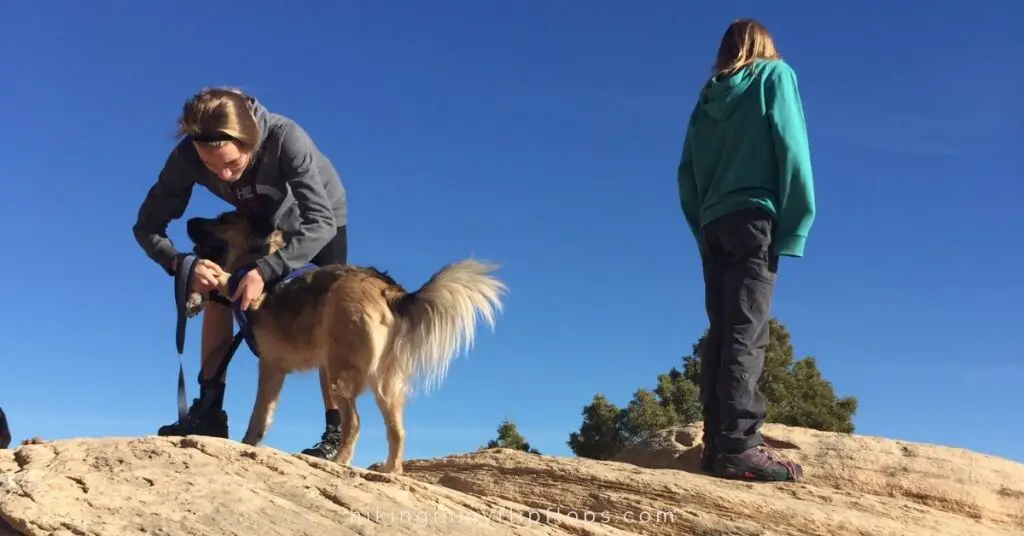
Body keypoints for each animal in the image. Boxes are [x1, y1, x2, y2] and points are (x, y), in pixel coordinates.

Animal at [186, 210, 505, 473]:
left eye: (224, 219)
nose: (188, 221)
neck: (261, 254)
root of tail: (389, 290)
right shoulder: (275, 368)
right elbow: (263, 418)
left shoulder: (269, 363)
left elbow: (258, 415)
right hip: (385, 384)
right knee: (397, 430)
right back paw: (389, 471)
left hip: (340, 371)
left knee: (354, 422)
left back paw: (340, 462)